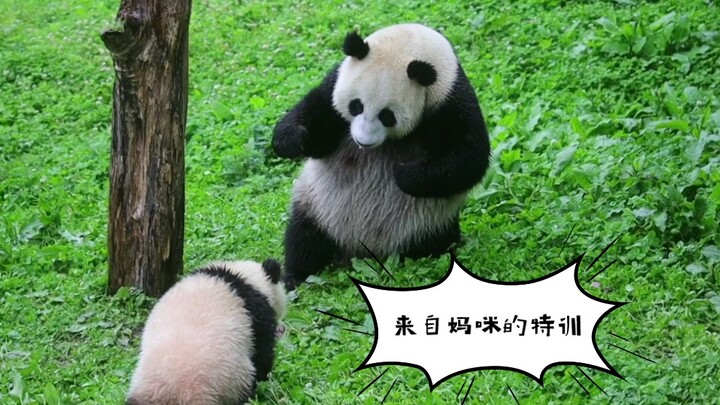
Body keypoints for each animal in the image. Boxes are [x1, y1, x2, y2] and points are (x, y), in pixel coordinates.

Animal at [272, 23, 491, 290]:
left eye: (387, 116)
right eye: (356, 105)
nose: (362, 141)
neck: (411, 42)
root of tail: (361, 251)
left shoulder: (450, 101)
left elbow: (468, 159)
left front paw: (403, 173)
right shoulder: (335, 83)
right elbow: (317, 124)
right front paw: (292, 140)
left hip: (426, 225)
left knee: (433, 243)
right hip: (319, 207)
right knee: (304, 239)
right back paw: (295, 277)